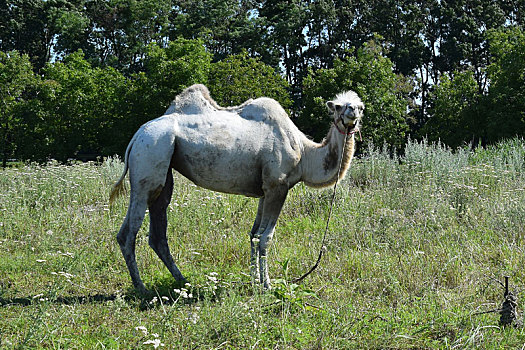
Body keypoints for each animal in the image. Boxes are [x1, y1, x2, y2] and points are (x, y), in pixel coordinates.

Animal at [109, 83, 364, 292]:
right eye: (338, 106)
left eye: (360, 107)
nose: (352, 112)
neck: (304, 153)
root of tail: (136, 136)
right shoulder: (278, 185)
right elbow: (266, 237)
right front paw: (267, 285)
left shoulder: (265, 190)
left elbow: (254, 234)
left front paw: (254, 281)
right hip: (150, 158)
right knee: (128, 233)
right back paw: (141, 288)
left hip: (163, 170)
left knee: (157, 231)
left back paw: (182, 280)